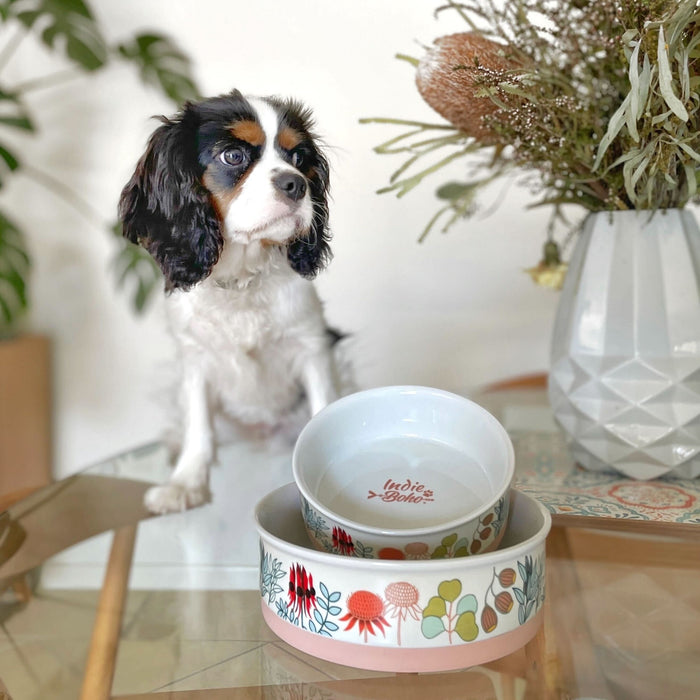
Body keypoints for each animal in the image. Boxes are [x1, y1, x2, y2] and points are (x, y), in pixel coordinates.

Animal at [120, 89, 344, 516]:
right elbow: (198, 427)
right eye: (234, 156)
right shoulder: (195, 360)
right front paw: (185, 483)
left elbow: (324, 405)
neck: (242, 279)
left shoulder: (311, 346)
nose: (296, 184)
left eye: (299, 159)